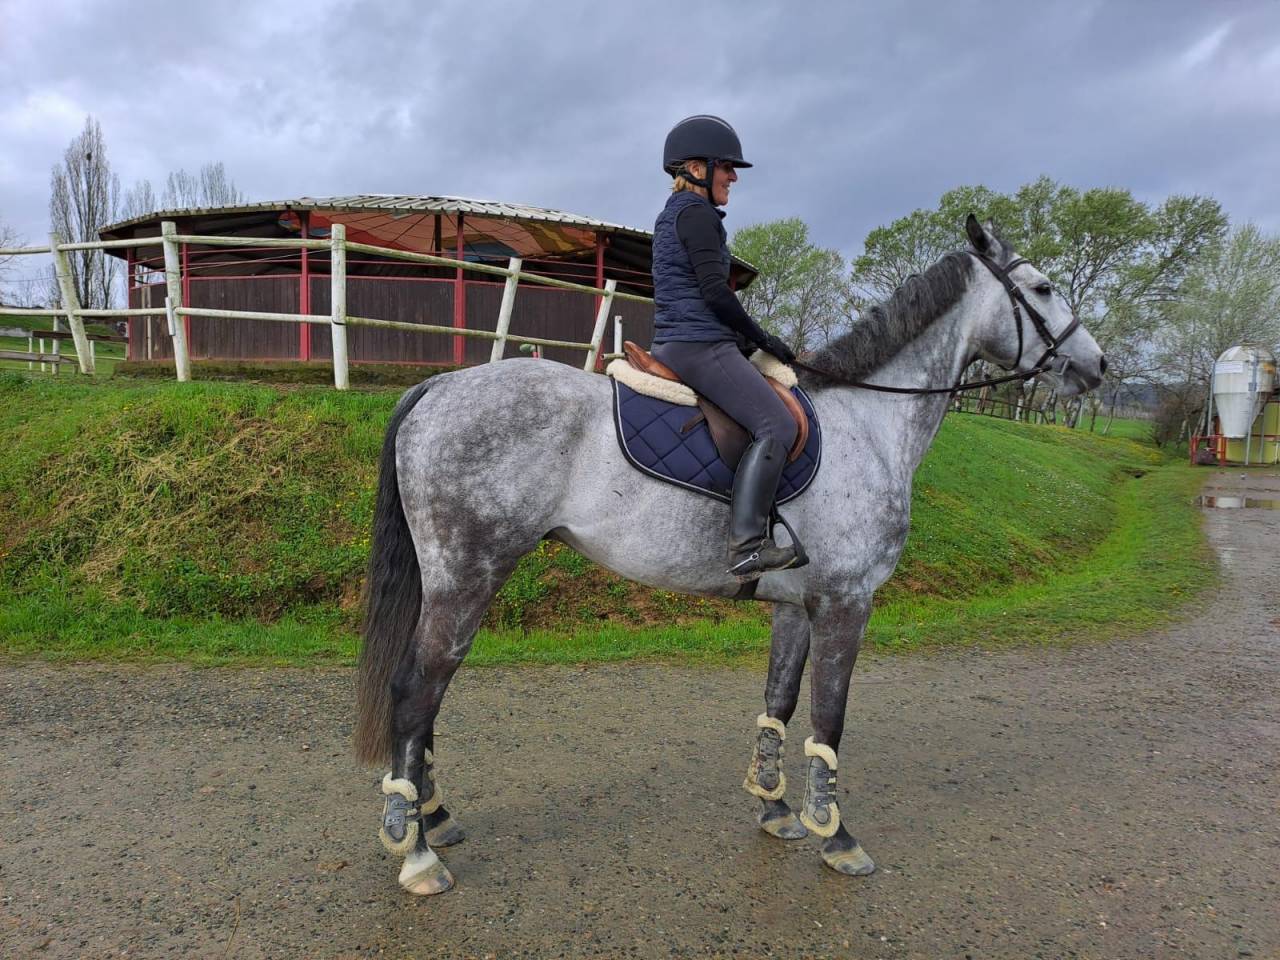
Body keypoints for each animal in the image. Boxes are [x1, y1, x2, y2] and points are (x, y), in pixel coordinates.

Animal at [352, 216, 1106, 894]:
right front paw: (838, 837)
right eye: (1041, 289)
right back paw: (416, 852)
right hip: (466, 580)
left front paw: (776, 808)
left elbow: (781, 702)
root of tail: (439, 386)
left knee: (426, 699)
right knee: (415, 694)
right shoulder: (848, 603)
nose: (1097, 366)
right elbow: (830, 717)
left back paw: (430, 815)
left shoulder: (798, 607)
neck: (867, 424)